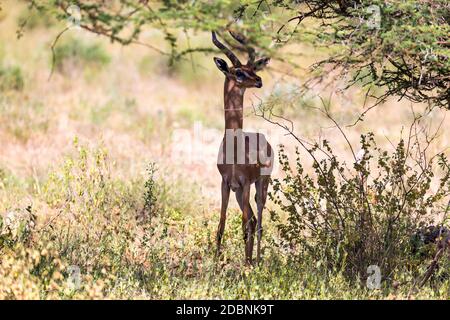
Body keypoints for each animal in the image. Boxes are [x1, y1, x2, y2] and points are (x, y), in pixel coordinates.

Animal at [212, 30, 272, 264]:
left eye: (253, 68)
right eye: (238, 71)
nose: (259, 80)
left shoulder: (245, 183)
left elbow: (245, 226)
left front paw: (247, 265)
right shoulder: (226, 183)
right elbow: (221, 224)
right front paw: (215, 262)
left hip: (261, 186)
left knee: (258, 221)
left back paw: (256, 261)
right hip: (239, 193)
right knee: (254, 220)